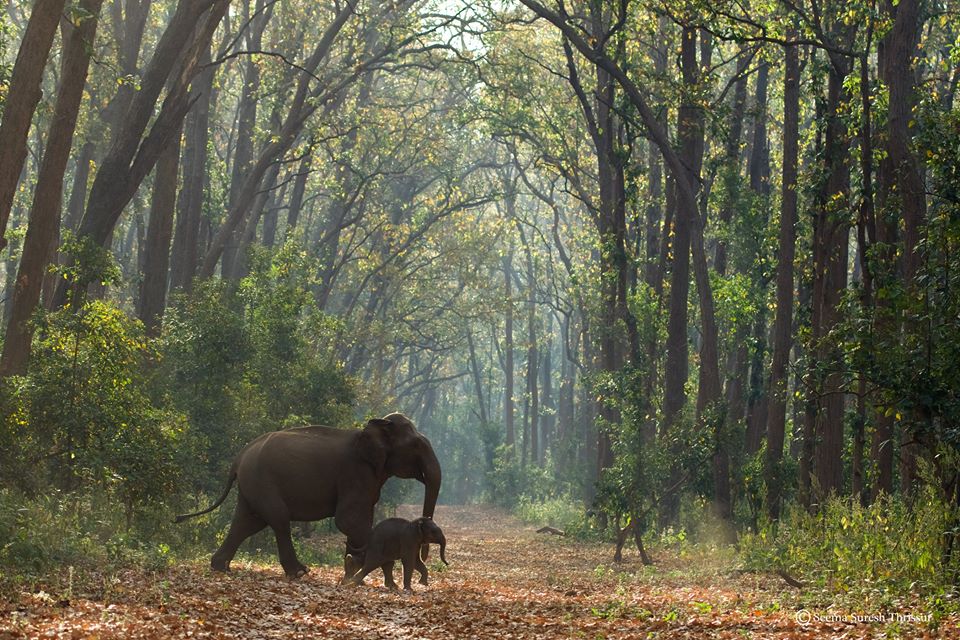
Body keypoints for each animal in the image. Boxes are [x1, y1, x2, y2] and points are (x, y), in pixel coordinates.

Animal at [174, 416, 440, 580]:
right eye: (416, 445)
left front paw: (352, 567)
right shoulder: (355, 472)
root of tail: (240, 456)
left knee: (247, 522)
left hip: (252, 486)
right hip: (262, 482)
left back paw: (220, 567)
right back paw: (300, 572)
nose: (425, 552)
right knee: (278, 520)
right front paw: (356, 566)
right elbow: (348, 519)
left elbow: (357, 518)